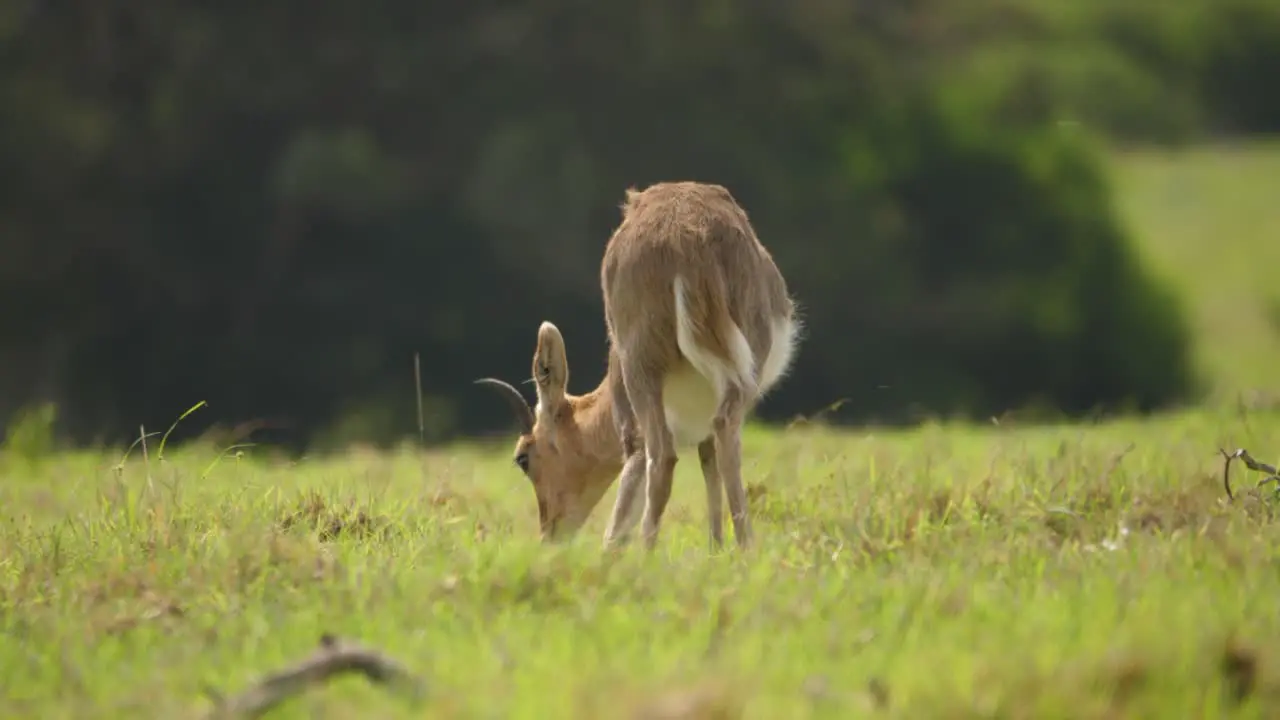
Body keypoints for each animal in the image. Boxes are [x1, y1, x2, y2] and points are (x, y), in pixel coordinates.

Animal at [481, 180, 798, 548]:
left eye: (523, 458)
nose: (549, 535)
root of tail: (687, 236)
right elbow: (709, 464)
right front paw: (716, 550)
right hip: (742, 375)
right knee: (725, 433)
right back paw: (746, 549)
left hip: (640, 372)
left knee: (662, 456)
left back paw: (647, 552)